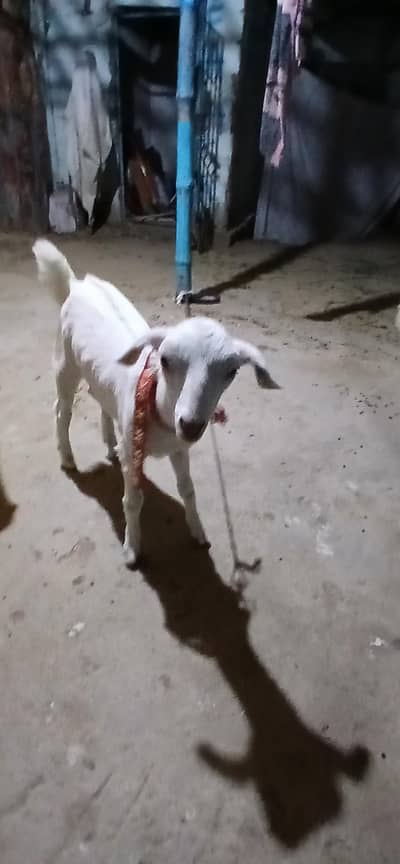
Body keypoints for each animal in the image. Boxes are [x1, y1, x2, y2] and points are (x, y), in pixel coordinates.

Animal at [33, 239, 279, 567]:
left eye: (232, 372)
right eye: (165, 360)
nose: (190, 425)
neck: (159, 410)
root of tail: (76, 284)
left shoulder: (179, 448)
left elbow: (188, 489)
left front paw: (198, 532)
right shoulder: (137, 451)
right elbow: (133, 500)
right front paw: (132, 549)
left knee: (101, 401)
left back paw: (110, 443)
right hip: (65, 363)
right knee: (62, 410)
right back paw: (68, 458)